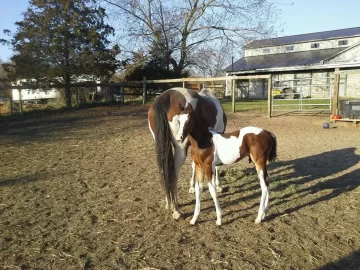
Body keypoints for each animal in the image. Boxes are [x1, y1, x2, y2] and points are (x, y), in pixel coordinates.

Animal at [146, 88, 225, 219]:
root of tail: (166, 96)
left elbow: (194, 165)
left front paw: (193, 187)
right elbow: (217, 165)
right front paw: (218, 186)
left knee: (165, 172)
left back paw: (168, 202)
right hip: (180, 148)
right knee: (173, 174)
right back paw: (175, 209)